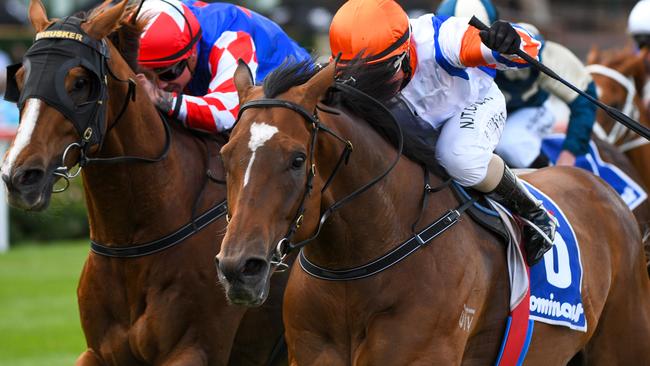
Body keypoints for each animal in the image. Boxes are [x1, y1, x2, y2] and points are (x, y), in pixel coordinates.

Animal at [0, 1, 288, 364]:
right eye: (20, 78)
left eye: (79, 82)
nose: (20, 176)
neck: (130, 242)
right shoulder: (98, 351)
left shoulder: (194, 348)